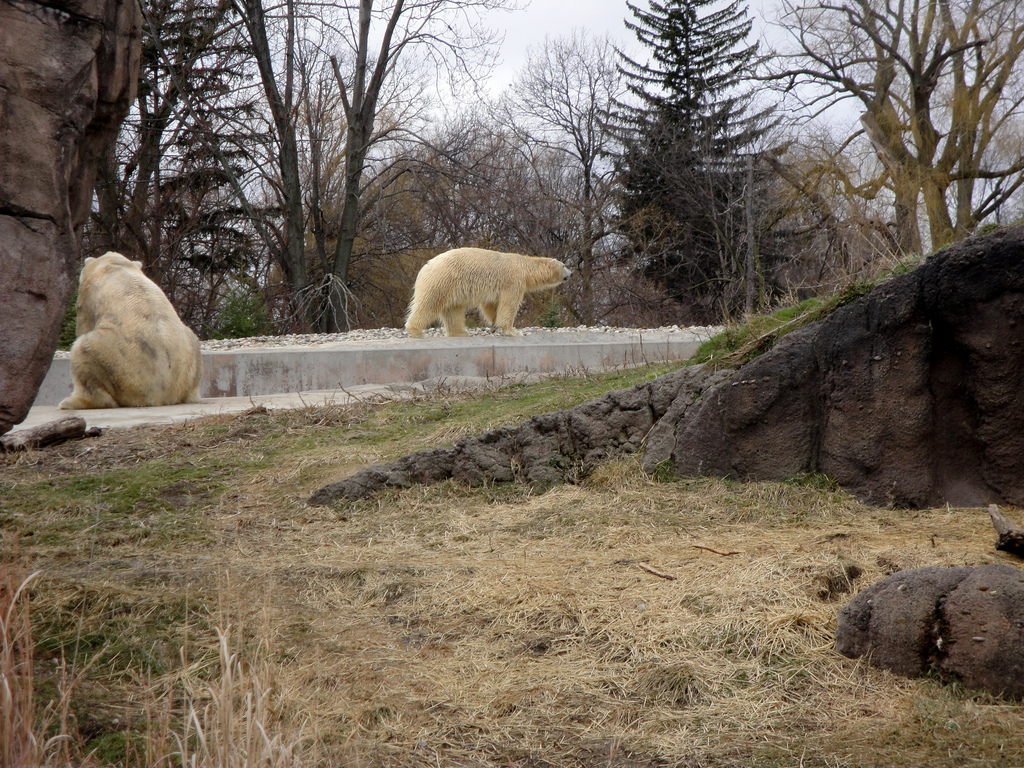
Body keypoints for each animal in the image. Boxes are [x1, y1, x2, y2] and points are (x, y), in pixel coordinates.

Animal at [59, 252, 203, 409]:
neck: (116, 265)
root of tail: (162, 395)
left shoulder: (88, 293)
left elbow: (83, 325)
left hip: (119, 365)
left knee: (84, 349)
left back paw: (71, 402)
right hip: (190, 360)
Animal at [405, 248, 572, 338]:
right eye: (564, 265)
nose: (571, 274)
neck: (525, 266)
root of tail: (425, 268)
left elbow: (490, 304)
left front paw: (494, 322)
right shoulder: (513, 280)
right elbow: (509, 304)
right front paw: (512, 331)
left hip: (451, 287)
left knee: (453, 310)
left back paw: (461, 332)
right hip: (442, 281)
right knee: (428, 304)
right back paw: (417, 331)